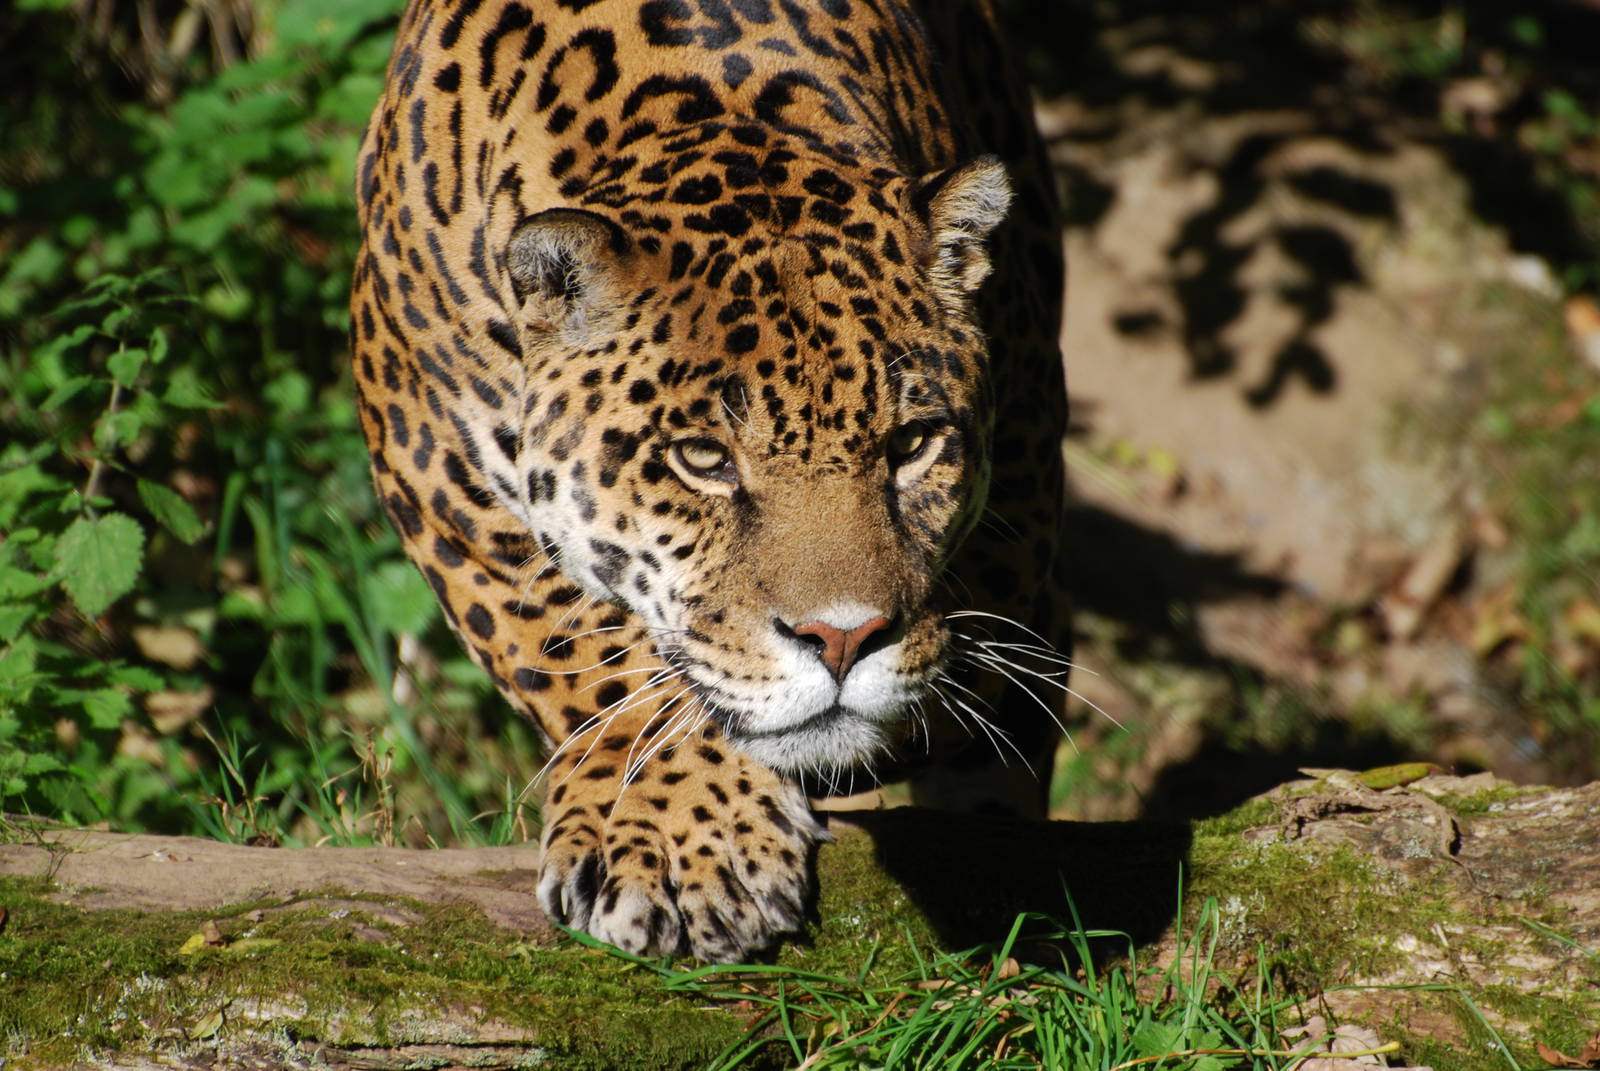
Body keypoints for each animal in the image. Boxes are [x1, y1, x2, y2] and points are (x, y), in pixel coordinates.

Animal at [351, 0, 1069, 963]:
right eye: (703, 459)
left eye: (912, 443)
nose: (843, 638)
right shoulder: (430, 454)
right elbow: (579, 647)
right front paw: (681, 822)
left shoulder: (1026, 438)